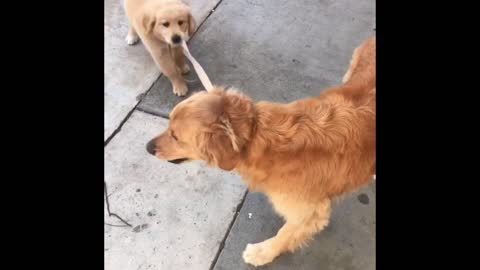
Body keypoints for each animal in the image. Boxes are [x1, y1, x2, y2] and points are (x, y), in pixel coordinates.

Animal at [145, 35, 376, 266]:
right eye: (169, 124)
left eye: (175, 136)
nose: (147, 148)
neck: (256, 138)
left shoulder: (310, 213)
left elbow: (284, 234)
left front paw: (262, 252)